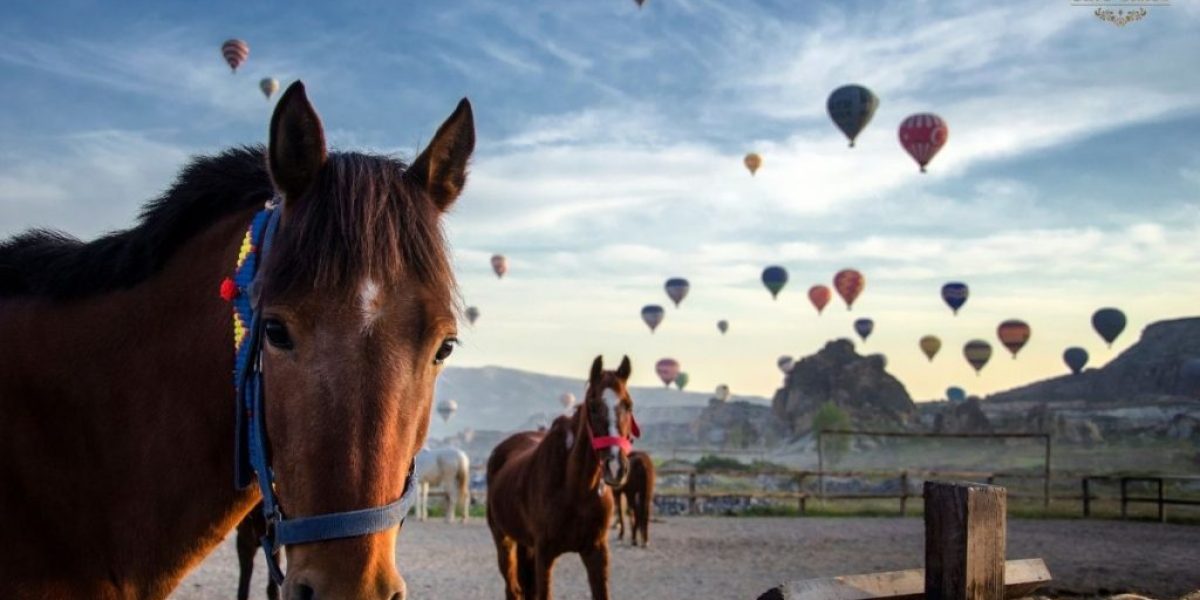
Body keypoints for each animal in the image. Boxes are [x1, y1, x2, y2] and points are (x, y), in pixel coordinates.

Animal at [484, 355, 643, 600]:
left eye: (628, 404)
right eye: (593, 406)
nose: (616, 467)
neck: (575, 488)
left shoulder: (596, 552)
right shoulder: (545, 554)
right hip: (503, 540)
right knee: (512, 589)